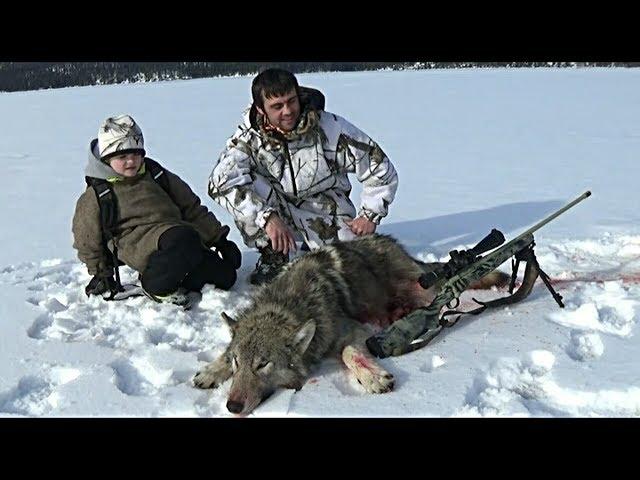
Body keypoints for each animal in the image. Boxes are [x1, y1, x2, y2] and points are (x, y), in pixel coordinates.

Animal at [192, 234, 508, 414]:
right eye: (238, 363)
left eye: (262, 364)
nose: (232, 406)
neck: (289, 304)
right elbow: (222, 354)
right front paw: (209, 371)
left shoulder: (352, 330)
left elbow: (349, 352)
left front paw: (373, 377)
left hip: (424, 289)